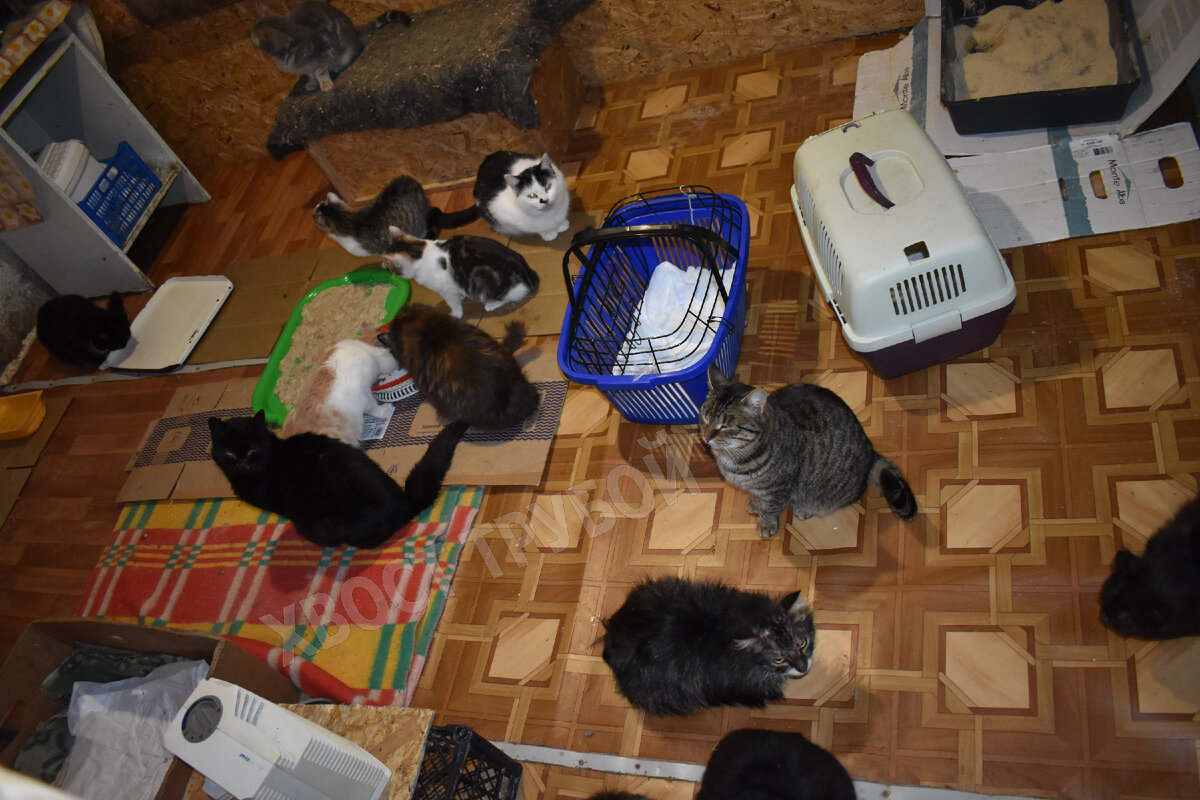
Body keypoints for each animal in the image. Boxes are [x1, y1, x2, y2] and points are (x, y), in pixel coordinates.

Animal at [250, 2, 411, 92]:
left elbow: (320, 71)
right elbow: (310, 73)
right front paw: (312, 83)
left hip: (343, 39)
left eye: (253, 36)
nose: (250, 37)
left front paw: (325, 84)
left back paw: (338, 65)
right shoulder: (307, 66)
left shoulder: (323, 52)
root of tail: (355, 32)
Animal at [381, 229, 540, 319]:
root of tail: (528, 272)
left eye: (390, 268)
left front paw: (456, 313)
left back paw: (491, 304)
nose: (384, 269)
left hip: (488, 285)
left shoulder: (447, 290)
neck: (421, 252)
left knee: (510, 297)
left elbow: (453, 302)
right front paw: (462, 297)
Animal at [700, 365, 918, 538]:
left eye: (726, 426)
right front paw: (755, 502)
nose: (706, 436)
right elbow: (759, 496)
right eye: (705, 417)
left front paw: (765, 522)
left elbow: (770, 507)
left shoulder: (779, 488)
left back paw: (806, 509)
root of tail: (870, 447)